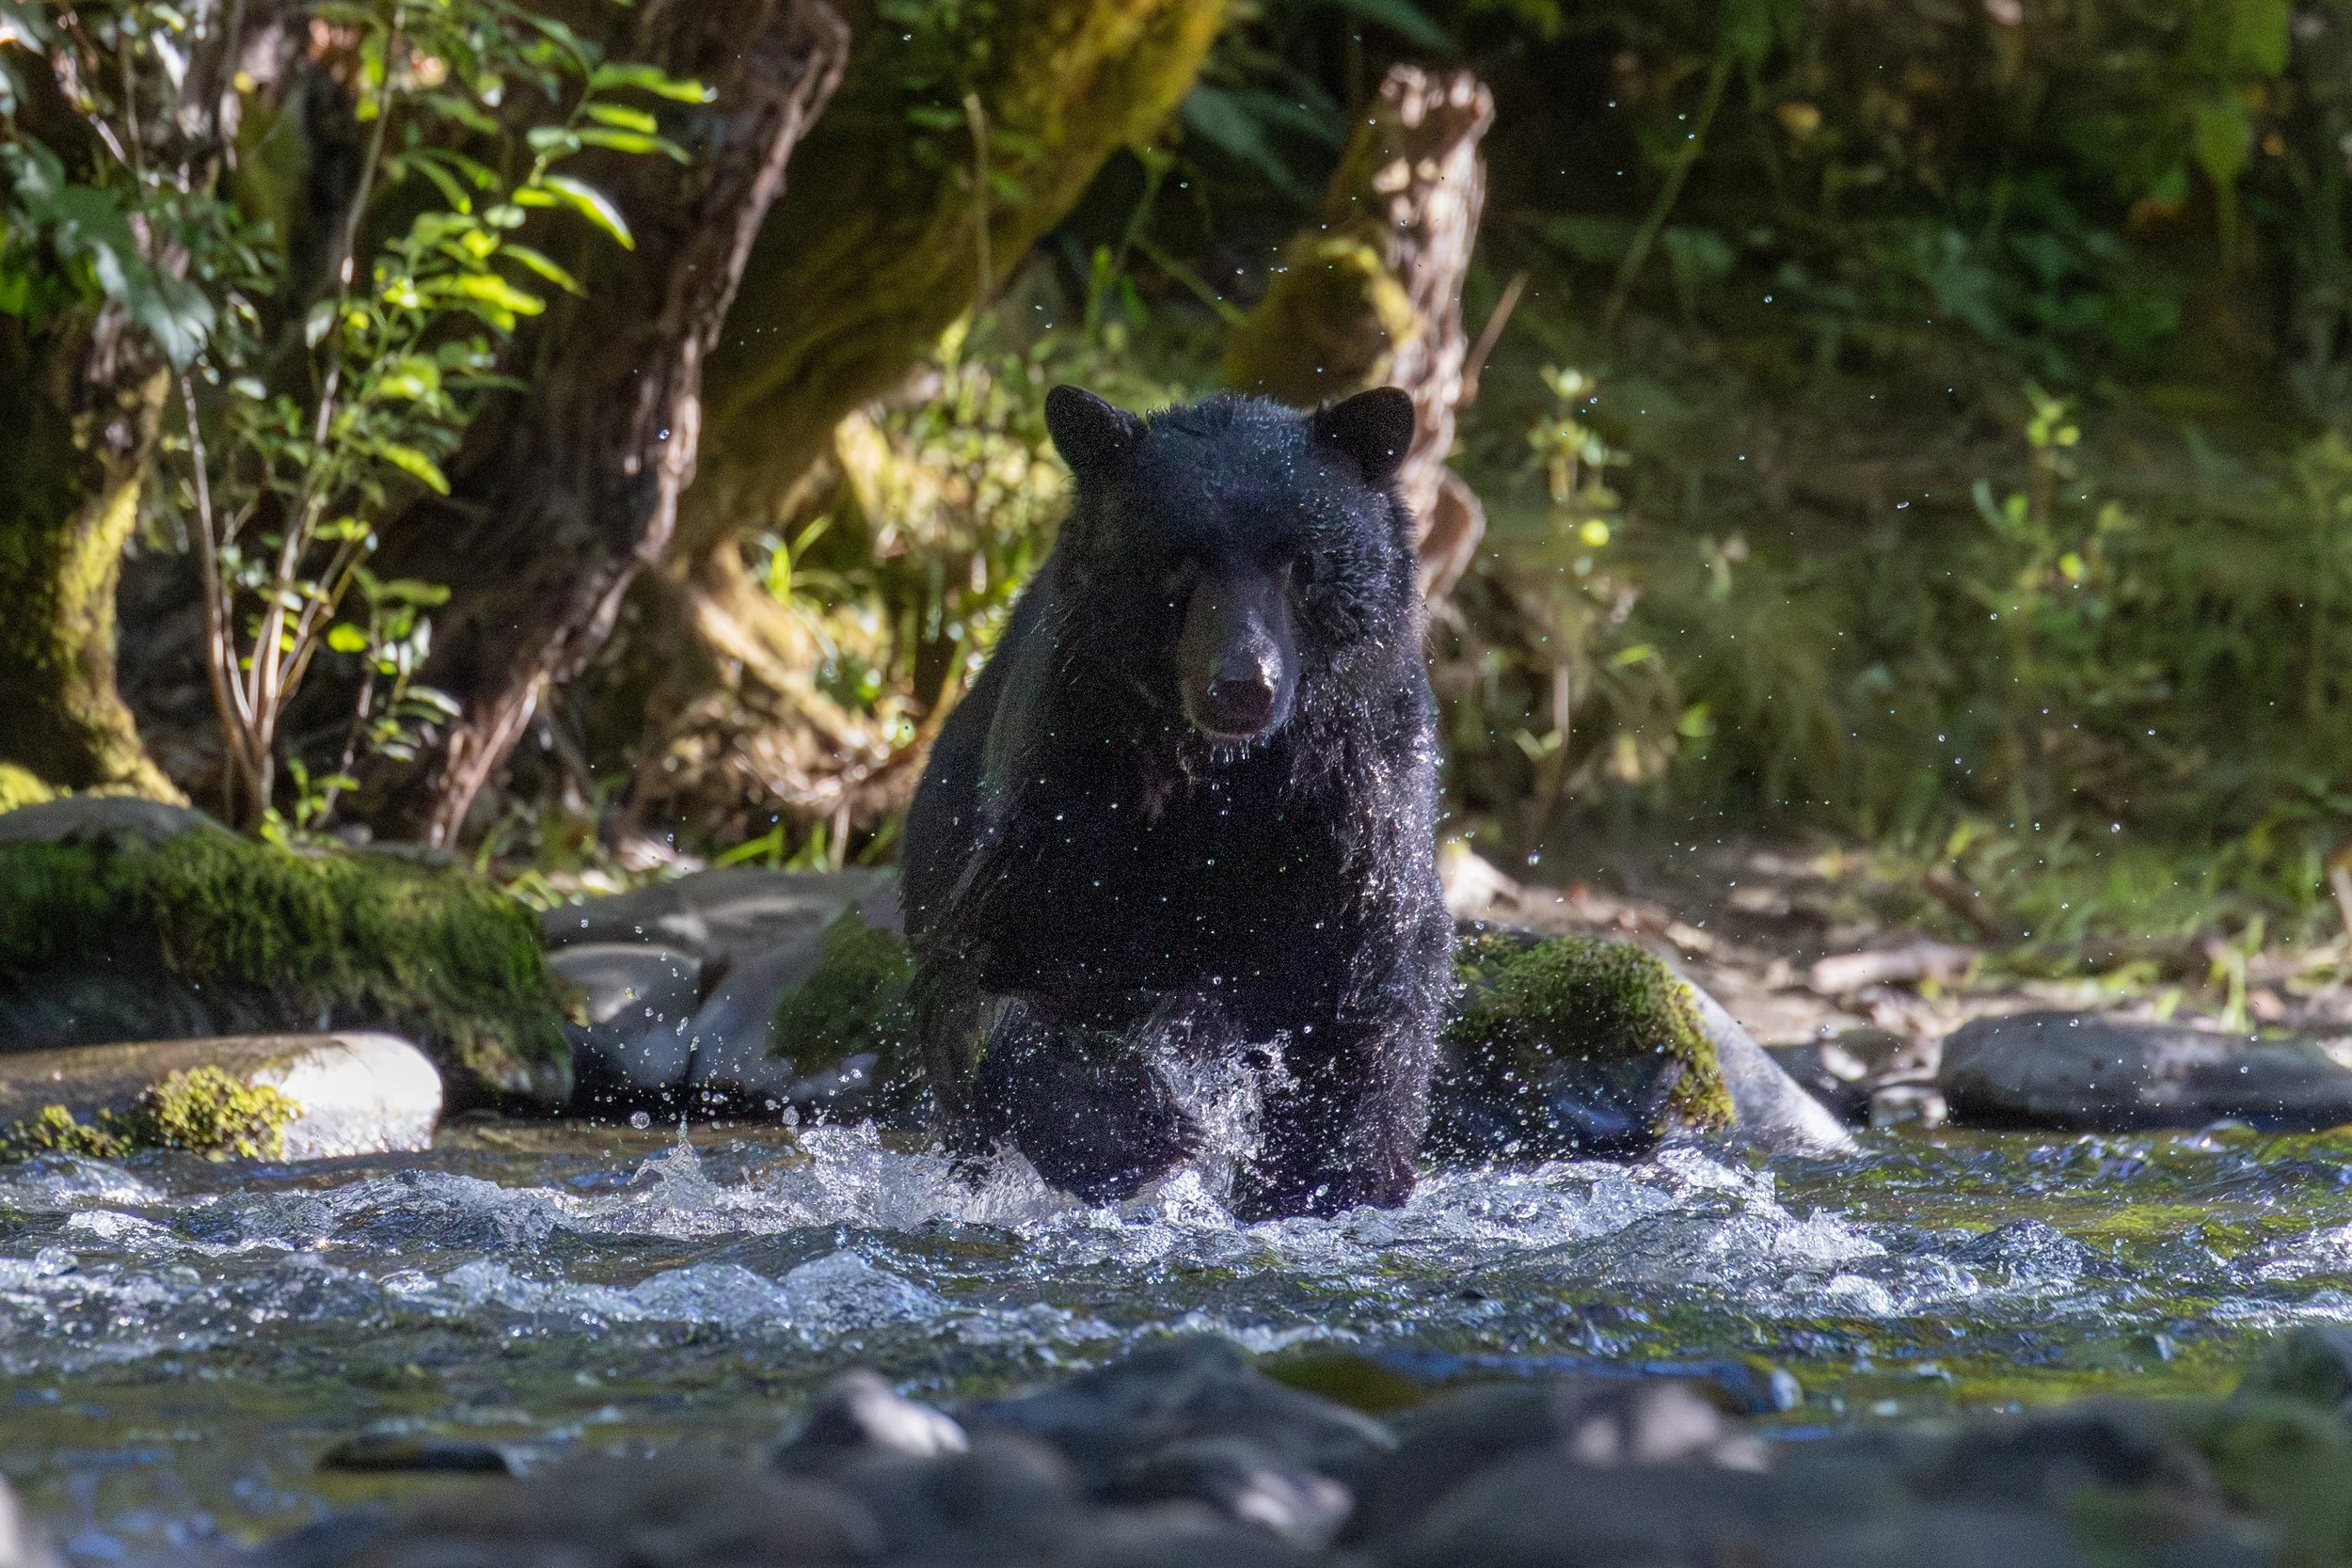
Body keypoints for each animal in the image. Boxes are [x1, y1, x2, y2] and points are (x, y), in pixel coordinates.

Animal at [899, 384, 1454, 1220]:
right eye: (1178, 560)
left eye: (1299, 561)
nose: (1241, 684)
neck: (1220, 776)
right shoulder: (1067, 786)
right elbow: (991, 972)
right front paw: (1131, 1128)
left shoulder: (1357, 799)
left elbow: (1367, 992)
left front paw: (1325, 1179)